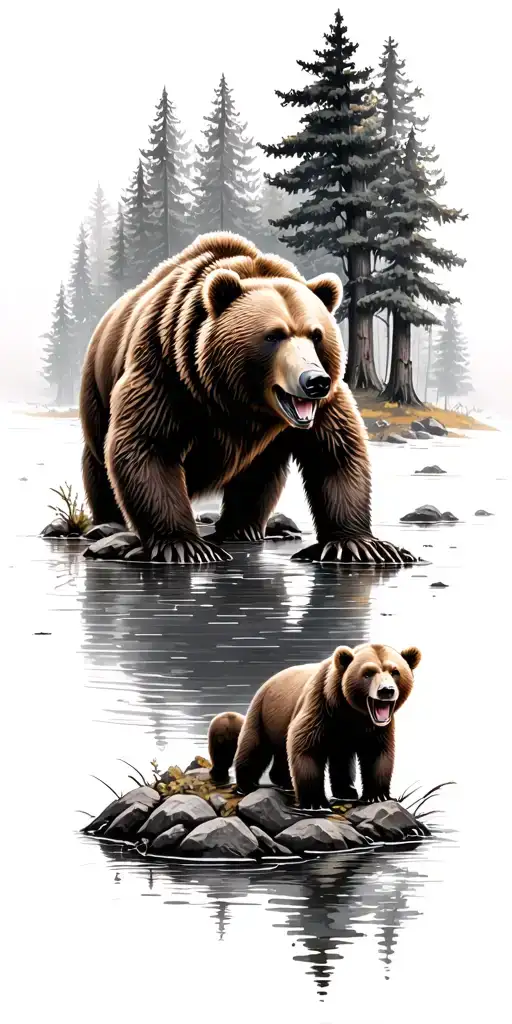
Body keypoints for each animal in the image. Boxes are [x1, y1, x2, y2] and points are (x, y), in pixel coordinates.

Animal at [78, 231, 417, 565]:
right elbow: (149, 445)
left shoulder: (326, 402)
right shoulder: (166, 370)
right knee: (98, 464)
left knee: (259, 475)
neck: (239, 400)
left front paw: (359, 544)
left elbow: (335, 452)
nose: (314, 381)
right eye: (274, 335)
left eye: (316, 334)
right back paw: (109, 524)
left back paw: (242, 528)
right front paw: (185, 545)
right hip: (97, 392)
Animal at [208, 643, 421, 808]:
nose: (386, 690)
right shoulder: (320, 707)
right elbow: (306, 747)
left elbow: (376, 753)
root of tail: (268, 681)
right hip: (264, 713)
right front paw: (315, 802)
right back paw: (247, 783)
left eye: (395, 671)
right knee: (254, 746)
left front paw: (376, 795)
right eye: (368, 673)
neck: (351, 712)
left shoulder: (373, 728)